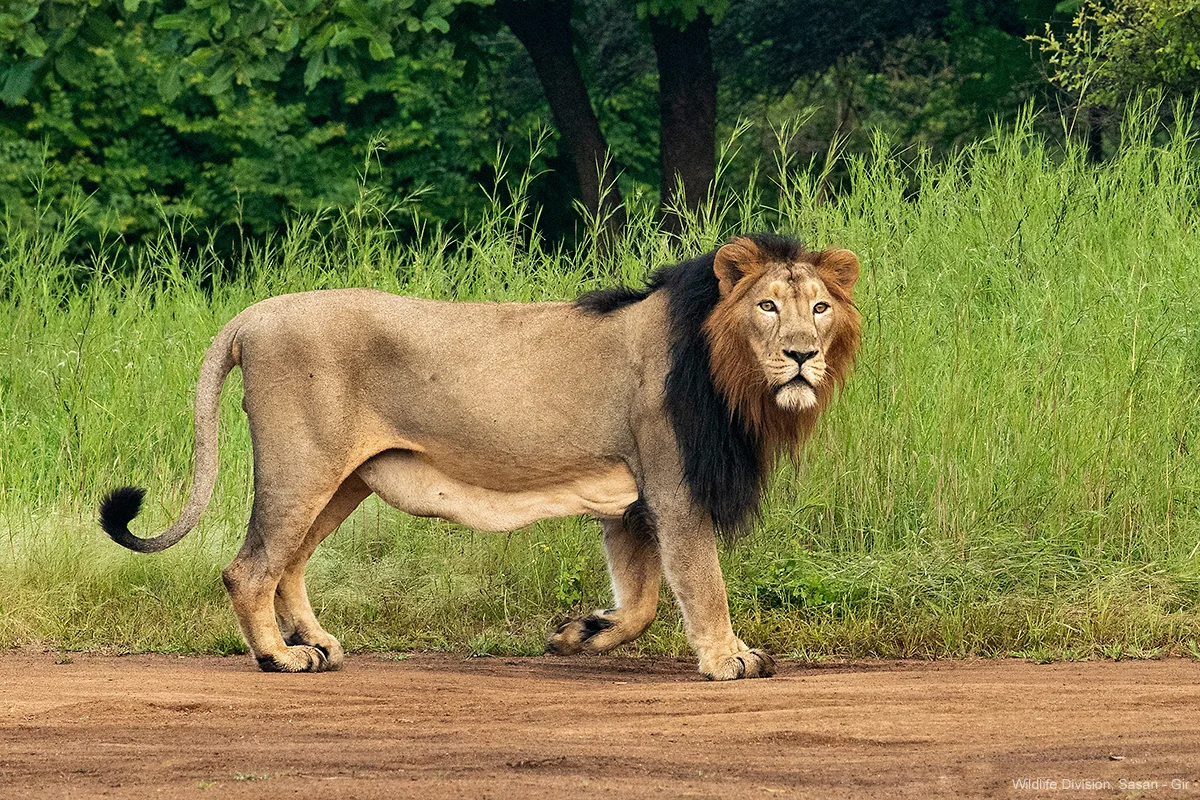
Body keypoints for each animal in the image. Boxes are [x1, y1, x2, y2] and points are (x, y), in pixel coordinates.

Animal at [100, 234, 861, 680]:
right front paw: (729, 658)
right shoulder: (674, 486)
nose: (802, 355)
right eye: (768, 306)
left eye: (819, 308)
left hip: (343, 480)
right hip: (301, 466)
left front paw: (580, 634)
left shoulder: (629, 501)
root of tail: (251, 315)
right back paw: (279, 658)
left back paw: (317, 644)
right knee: (250, 567)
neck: (731, 374)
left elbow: (641, 600)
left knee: (287, 564)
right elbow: (703, 581)